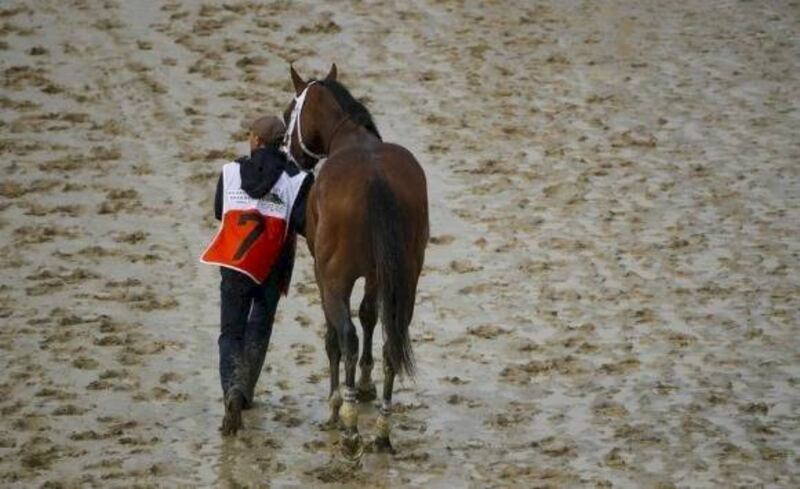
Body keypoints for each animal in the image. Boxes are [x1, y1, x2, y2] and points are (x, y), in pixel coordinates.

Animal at [280, 63, 429, 457]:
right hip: (406, 279)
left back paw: (348, 426)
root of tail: (375, 179)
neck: (351, 138)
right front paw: (364, 385)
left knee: (345, 336)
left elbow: (336, 335)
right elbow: (369, 316)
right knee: (392, 340)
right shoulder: (379, 275)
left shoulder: (323, 276)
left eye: (288, 113)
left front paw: (338, 402)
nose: (286, 154)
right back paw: (382, 430)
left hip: (335, 279)